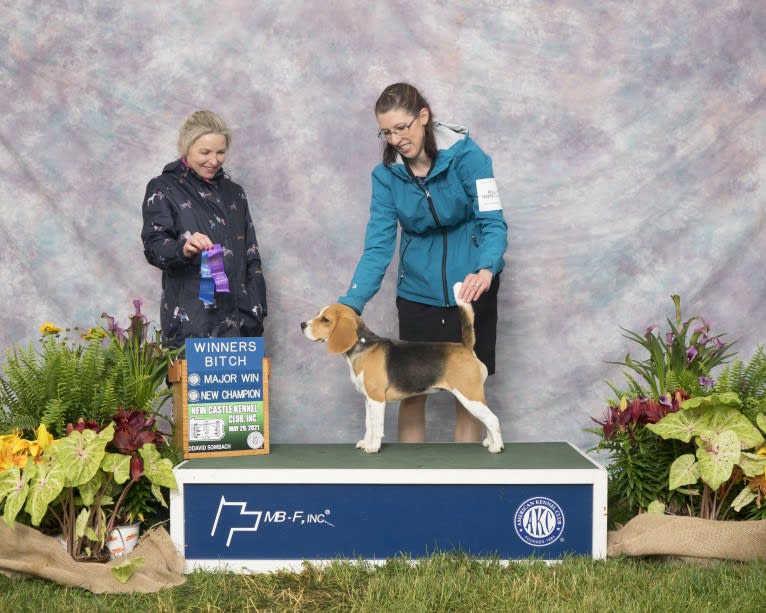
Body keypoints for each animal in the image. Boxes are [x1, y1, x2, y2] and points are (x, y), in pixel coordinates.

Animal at [304, 284, 508, 454]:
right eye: (318, 314)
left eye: (325, 320)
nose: (302, 325)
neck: (363, 345)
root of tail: (465, 346)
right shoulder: (368, 400)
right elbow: (369, 424)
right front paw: (366, 442)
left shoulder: (377, 399)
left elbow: (377, 427)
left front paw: (373, 447)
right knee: (488, 419)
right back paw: (489, 442)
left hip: (469, 395)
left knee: (493, 419)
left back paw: (496, 446)